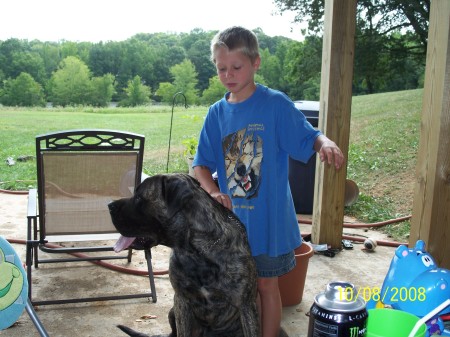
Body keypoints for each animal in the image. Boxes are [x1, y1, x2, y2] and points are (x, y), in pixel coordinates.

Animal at [109, 173, 288, 336]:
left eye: (139, 198)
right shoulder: (181, 302)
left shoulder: (246, 305)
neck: (197, 252)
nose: (110, 205)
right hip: (172, 311)